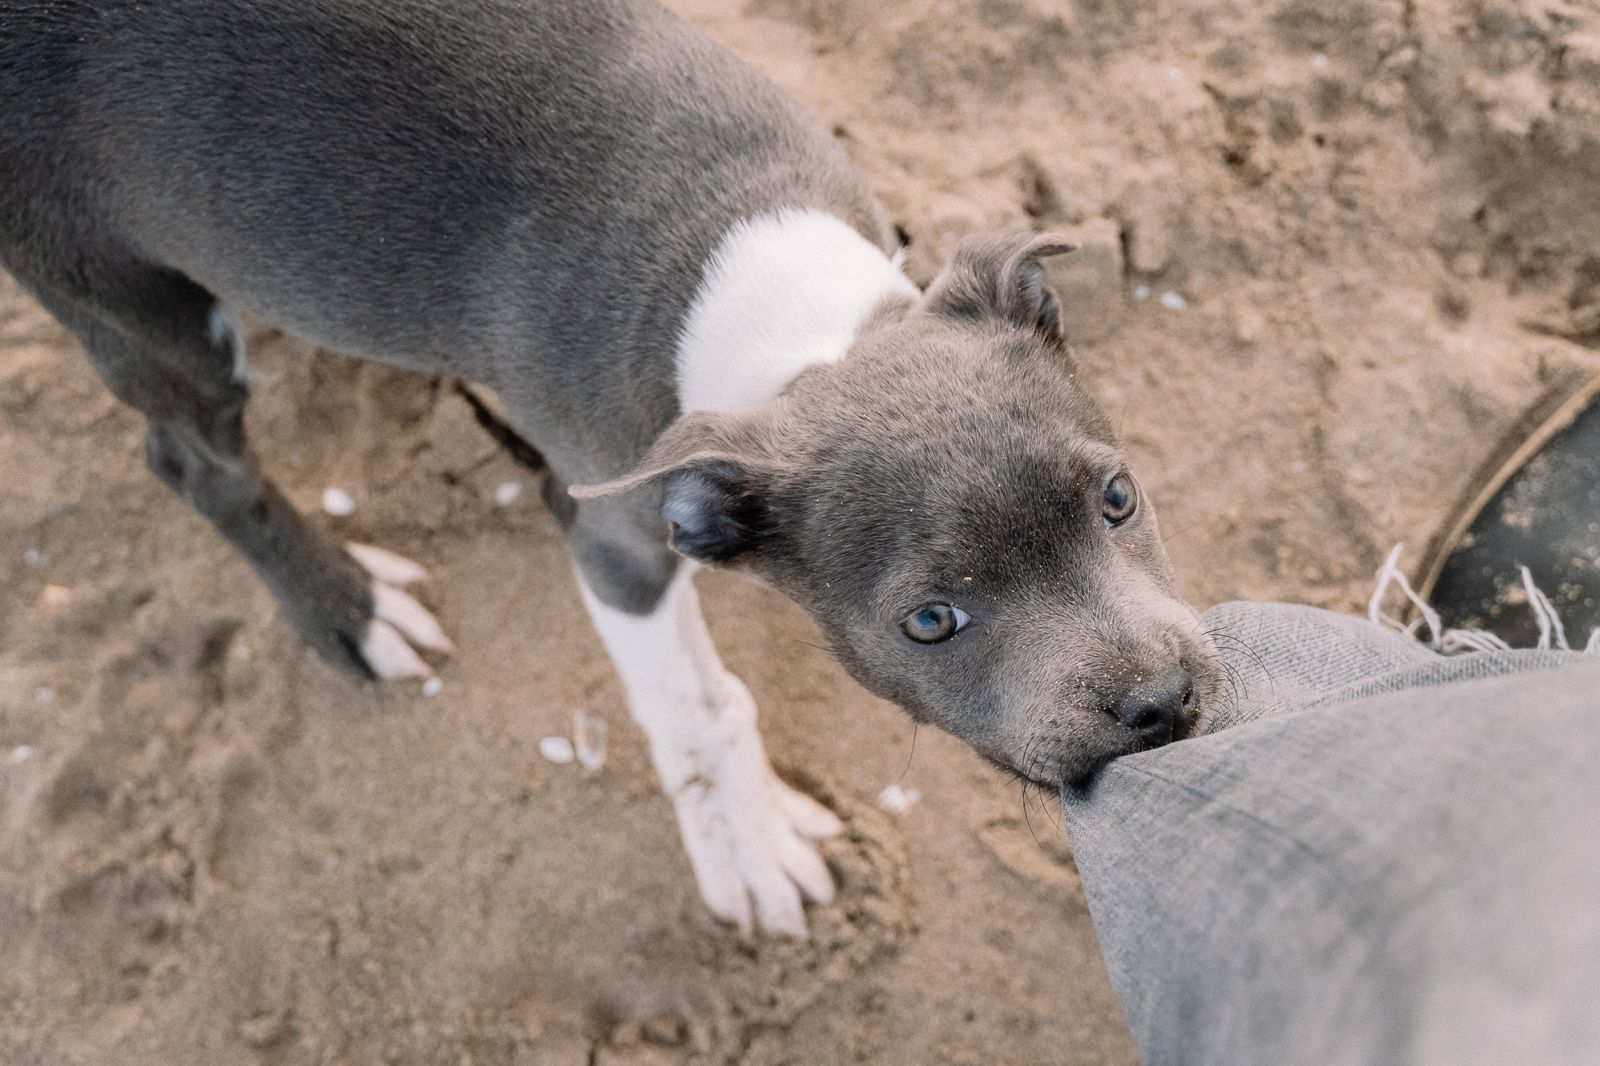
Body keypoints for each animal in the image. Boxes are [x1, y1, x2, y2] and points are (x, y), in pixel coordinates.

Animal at [0, 0, 1221, 936]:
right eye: (930, 623)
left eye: (1118, 498)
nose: (1163, 705)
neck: (793, 332)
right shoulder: (616, 534)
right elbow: (699, 702)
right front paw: (754, 851)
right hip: (123, 286)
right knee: (196, 460)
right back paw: (350, 610)